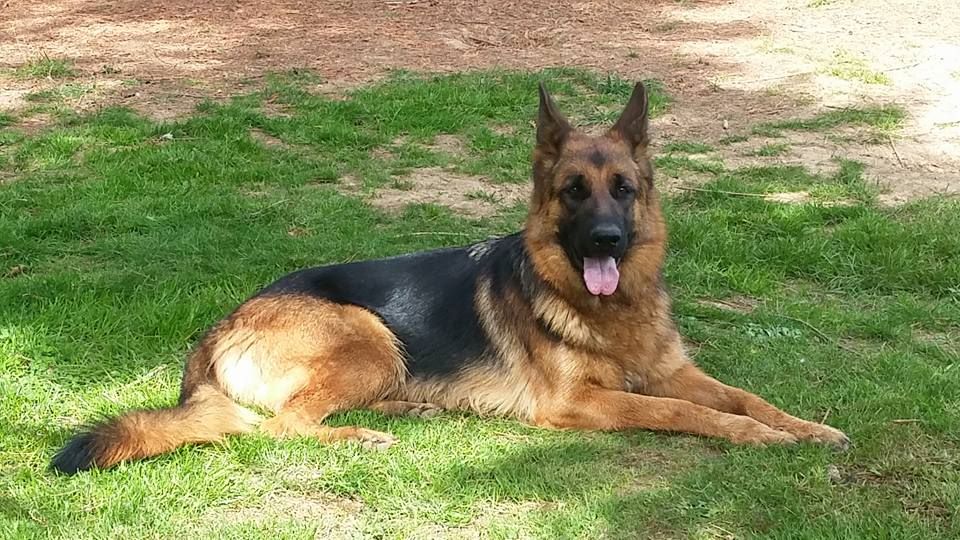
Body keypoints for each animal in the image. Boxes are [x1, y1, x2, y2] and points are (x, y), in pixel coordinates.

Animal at [52, 82, 848, 474]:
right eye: (573, 192)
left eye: (622, 189)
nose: (607, 241)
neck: (610, 312)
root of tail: (219, 326)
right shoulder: (580, 406)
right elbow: (688, 413)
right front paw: (759, 439)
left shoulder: (673, 370)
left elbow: (743, 397)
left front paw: (807, 428)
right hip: (368, 337)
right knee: (278, 424)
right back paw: (361, 437)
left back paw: (412, 410)